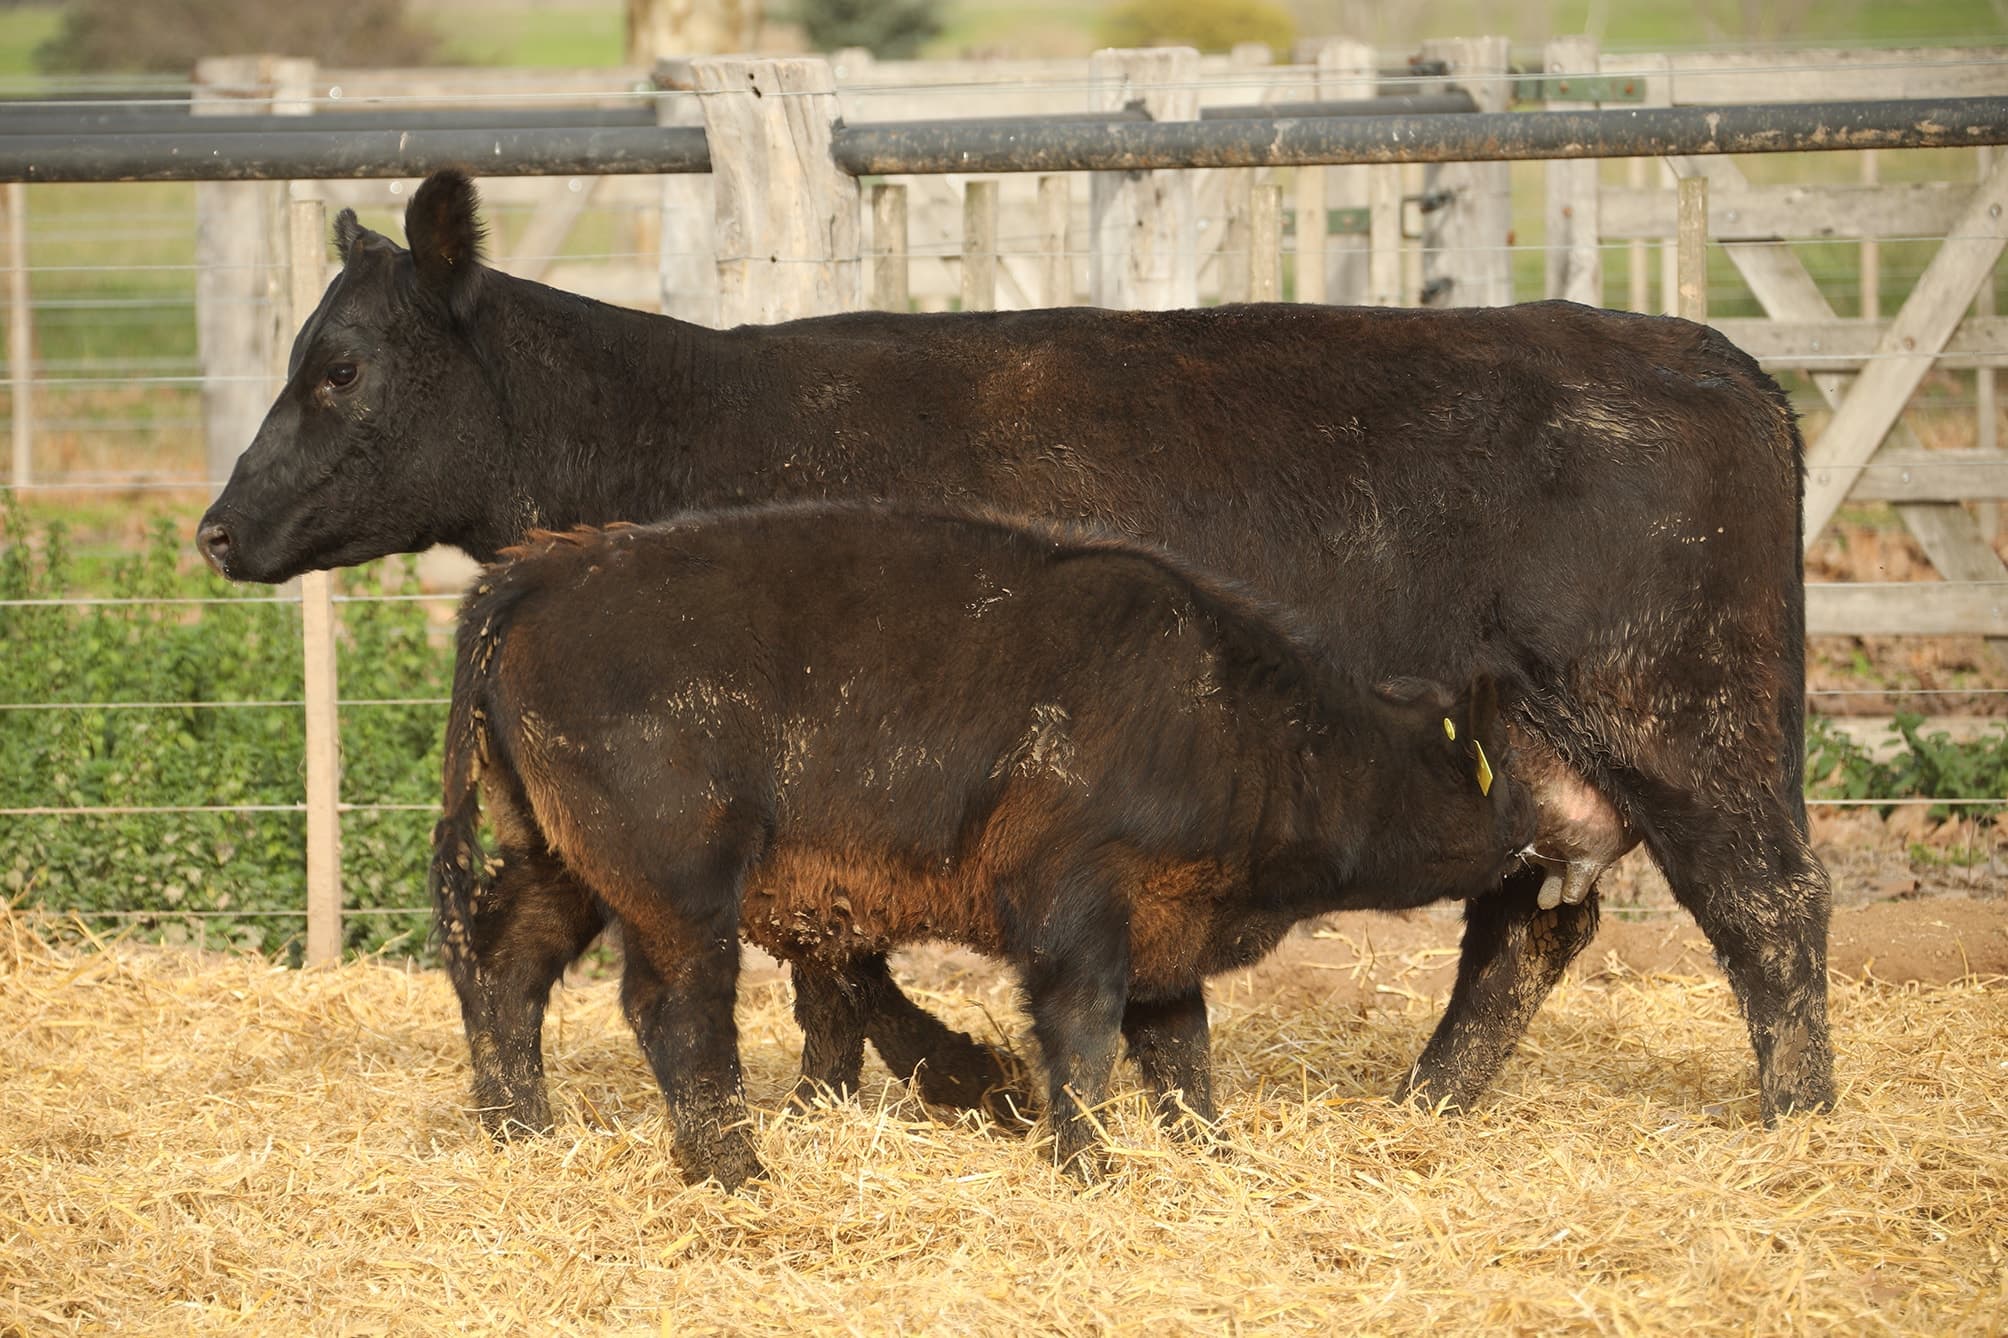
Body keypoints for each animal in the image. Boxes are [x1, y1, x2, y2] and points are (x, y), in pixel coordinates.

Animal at [432, 508, 1540, 1186]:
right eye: (1484, 765)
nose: (1537, 835)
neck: (1222, 712)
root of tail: (535, 576)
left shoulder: (1166, 932)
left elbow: (1182, 1051)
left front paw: (1215, 1157)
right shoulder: (1077, 912)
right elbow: (1086, 1039)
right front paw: (1090, 1165)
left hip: (558, 864)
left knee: (505, 966)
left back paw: (523, 1132)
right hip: (677, 889)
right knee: (675, 1011)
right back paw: (738, 1171)